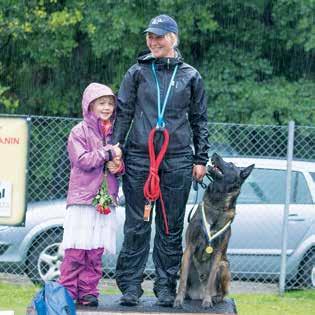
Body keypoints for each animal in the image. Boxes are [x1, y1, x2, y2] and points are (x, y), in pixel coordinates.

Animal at [174, 153, 256, 308]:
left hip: (224, 266)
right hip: (185, 261)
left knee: (223, 293)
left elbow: (211, 279)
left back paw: (215, 298)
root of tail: (197, 295)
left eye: (230, 164)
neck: (216, 206)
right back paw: (187, 296)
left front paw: (207, 301)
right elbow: (182, 281)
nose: (214, 154)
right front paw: (178, 300)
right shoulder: (189, 248)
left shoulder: (217, 254)